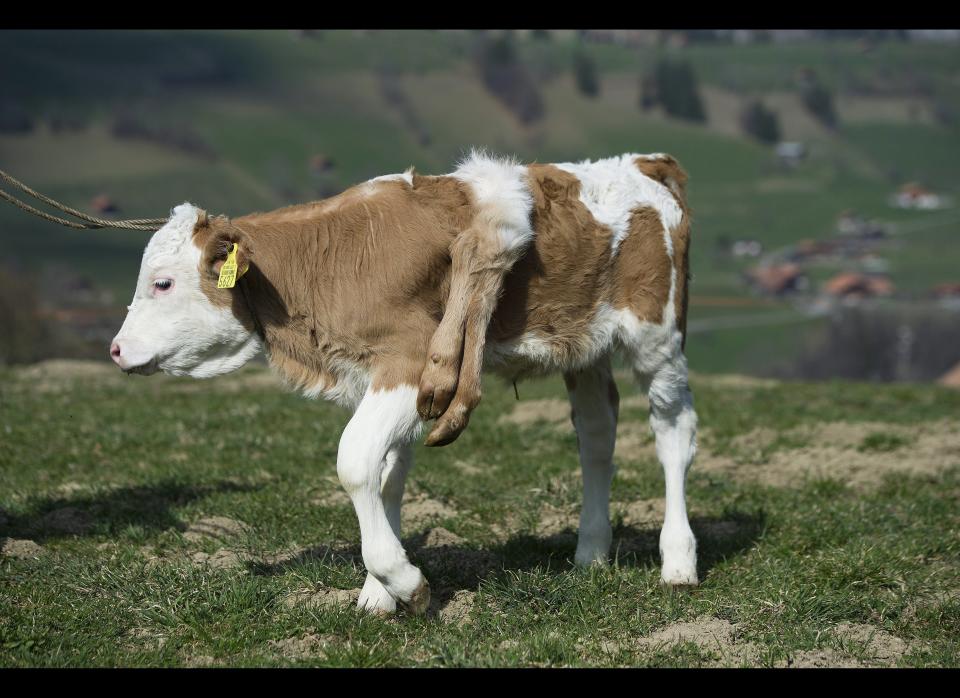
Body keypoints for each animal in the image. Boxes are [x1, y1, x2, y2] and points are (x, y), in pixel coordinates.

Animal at [110, 150, 696, 612]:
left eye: (162, 284)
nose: (115, 349)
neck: (336, 259)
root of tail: (640, 164)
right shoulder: (380, 380)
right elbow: (386, 475)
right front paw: (377, 594)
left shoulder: (411, 364)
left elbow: (355, 463)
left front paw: (404, 581)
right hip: (585, 351)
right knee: (597, 435)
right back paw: (591, 553)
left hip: (657, 337)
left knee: (674, 434)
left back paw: (678, 560)